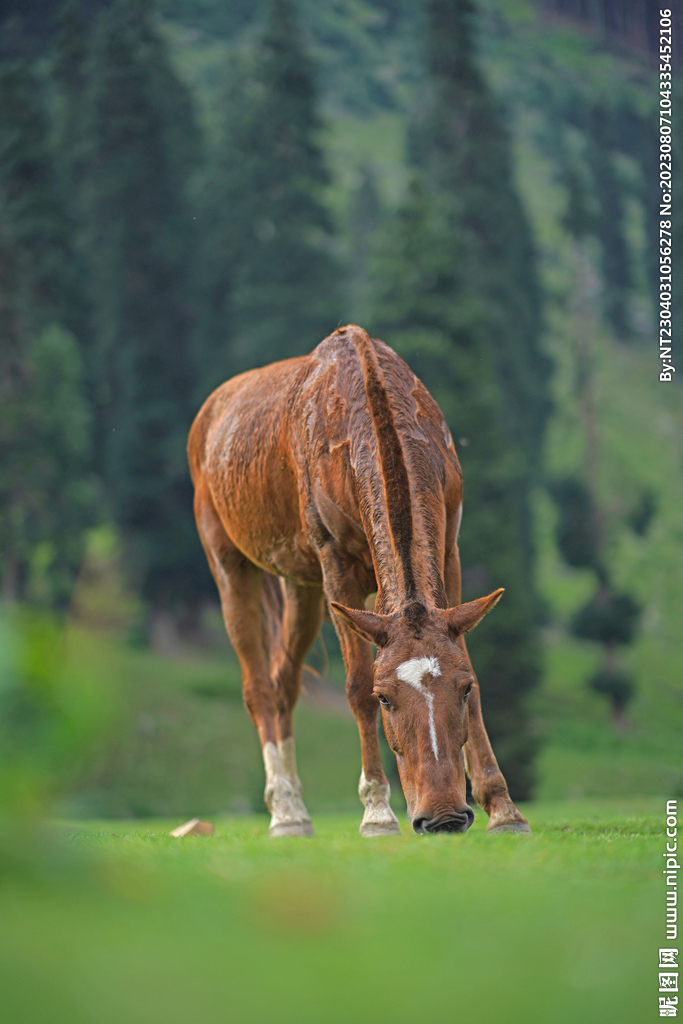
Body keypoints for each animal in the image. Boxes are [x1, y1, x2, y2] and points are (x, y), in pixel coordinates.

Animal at [188, 325, 530, 836]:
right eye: (384, 698)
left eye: (463, 688)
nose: (444, 816)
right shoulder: (335, 563)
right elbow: (354, 684)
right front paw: (377, 812)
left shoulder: (449, 548)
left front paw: (504, 809)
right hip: (225, 555)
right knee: (257, 686)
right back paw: (284, 811)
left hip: (300, 584)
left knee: (284, 679)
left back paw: (297, 811)